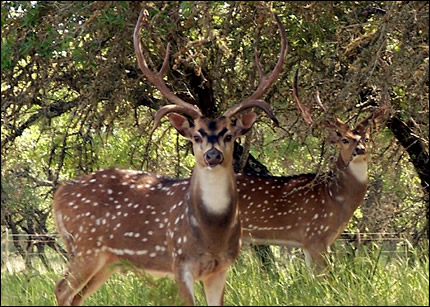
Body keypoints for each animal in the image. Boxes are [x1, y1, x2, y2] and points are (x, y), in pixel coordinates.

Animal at [53, 8, 288, 306]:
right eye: (196, 135)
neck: (211, 232)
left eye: (228, 135)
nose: (213, 155)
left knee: (75, 296)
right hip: (86, 246)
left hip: (107, 260)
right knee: (61, 289)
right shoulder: (180, 262)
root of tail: (58, 195)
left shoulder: (221, 268)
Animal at [237, 73, 388, 274]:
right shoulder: (315, 235)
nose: (360, 150)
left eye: (367, 138)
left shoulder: (312, 242)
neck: (334, 197)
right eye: (345, 139)